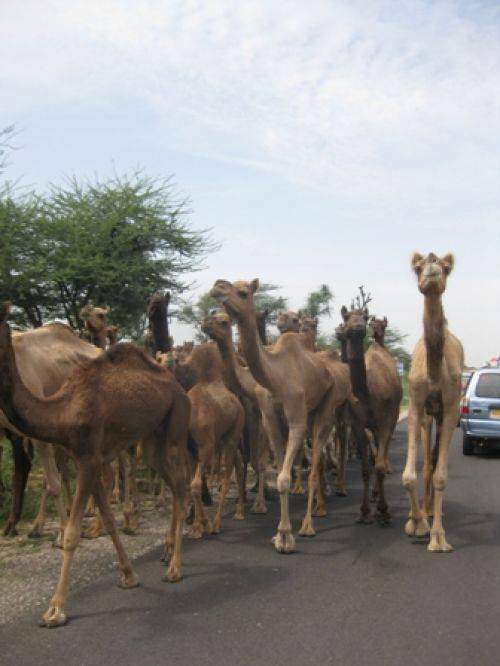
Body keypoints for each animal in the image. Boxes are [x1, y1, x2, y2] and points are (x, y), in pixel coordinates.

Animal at [0, 300, 190, 624]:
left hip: (175, 421)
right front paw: (128, 575)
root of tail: (176, 384)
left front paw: (55, 608)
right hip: (151, 439)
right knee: (173, 480)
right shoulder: (89, 458)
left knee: (180, 484)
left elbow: (73, 533)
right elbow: (109, 521)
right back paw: (170, 557)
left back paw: (176, 566)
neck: (61, 411)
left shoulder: (88, 459)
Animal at [200, 312, 270, 512]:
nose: (205, 324)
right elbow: (247, 457)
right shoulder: (249, 412)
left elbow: (259, 460)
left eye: (224, 322)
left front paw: (259, 504)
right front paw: (243, 499)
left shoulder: (263, 414)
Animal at [211, 278, 368, 548]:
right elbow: (276, 467)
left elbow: (285, 474)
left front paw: (286, 535)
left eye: (243, 291)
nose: (218, 285)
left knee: (317, 462)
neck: (276, 376)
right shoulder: (269, 418)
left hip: (327, 407)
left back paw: (310, 521)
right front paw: (278, 531)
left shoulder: (295, 415)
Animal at [340, 302, 402, 524]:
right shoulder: (358, 425)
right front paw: (364, 511)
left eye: (364, 317)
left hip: (393, 416)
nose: (357, 327)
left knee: (382, 456)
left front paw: (383, 510)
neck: (367, 393)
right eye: (346, 316)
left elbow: (380, 466)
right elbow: (366, 469)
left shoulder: (385, 421)